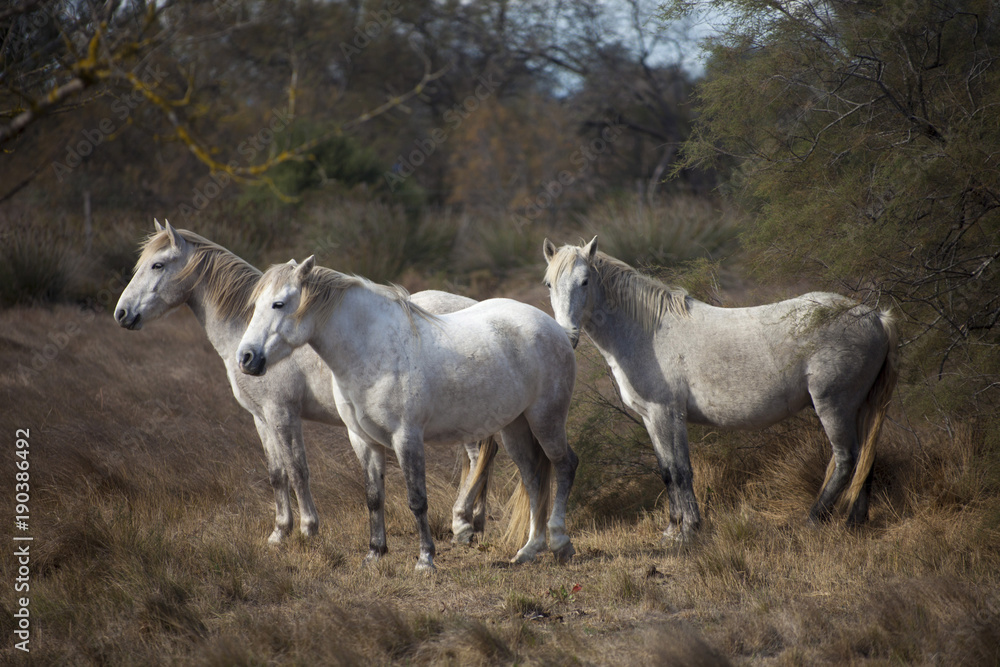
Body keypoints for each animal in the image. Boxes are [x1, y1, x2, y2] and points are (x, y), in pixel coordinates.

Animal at [114, 220, 498, 545]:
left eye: (157, 265)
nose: (122, 314)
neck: (247, 330)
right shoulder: (261, 417)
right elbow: (276, 473)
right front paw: (279, 533)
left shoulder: (282, 413)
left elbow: (298, 470)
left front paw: (308, 529)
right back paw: (472, 523)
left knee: (479, 454)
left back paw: (463, 523)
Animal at [236, 256, 579, 571]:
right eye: (256, 305)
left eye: (279, 304)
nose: (246, 358)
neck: (372, 351)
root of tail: (555, 328)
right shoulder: (364, 441)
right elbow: (374, 498)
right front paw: (374, 554)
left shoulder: (406, 438)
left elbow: (417, 499)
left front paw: (426, 559)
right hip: (515, 427)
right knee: (533, 478)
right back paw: (529, 550)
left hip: (546, 419)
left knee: (564, 465)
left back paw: (560, 543)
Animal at [542, 237, 898, 542]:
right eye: (548, 284)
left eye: (585, 281)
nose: (567, 336)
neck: (648, 332)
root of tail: (875, 317)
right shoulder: (650, 418)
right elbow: (666, 472)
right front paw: (672, 530)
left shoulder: (667, 414)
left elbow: (681, 471)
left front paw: (689, 531)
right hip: (857, 407)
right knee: (865, 457)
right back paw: (854, 522)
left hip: (833, 406)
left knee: (846, 459)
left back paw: (813, 519)